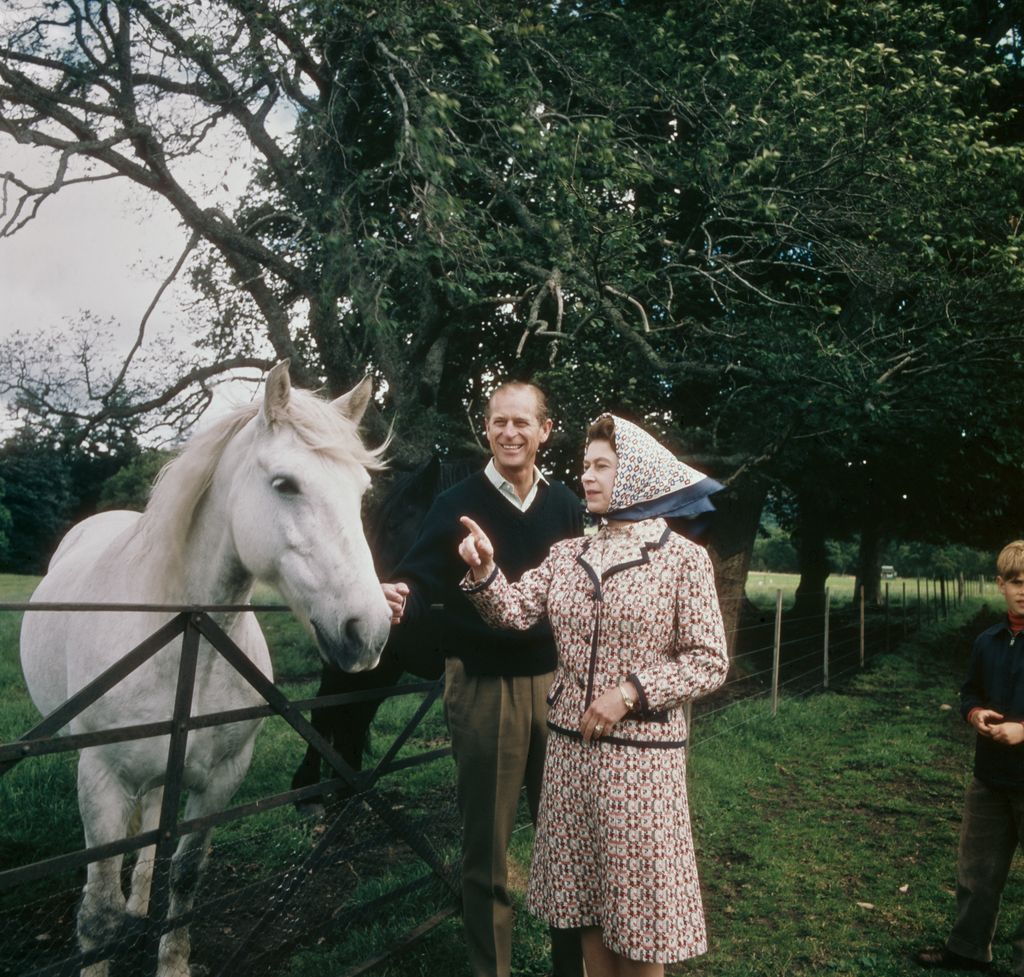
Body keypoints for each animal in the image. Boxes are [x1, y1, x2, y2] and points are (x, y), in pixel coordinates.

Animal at [17, 360, 391, 974]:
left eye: (361, 491)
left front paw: (171, 960)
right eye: (285, 484)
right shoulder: (101, 780)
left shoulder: (221, 780)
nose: (371, 631)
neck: (188, 641)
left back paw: (140, 903)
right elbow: (97, 909)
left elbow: (187, 879)